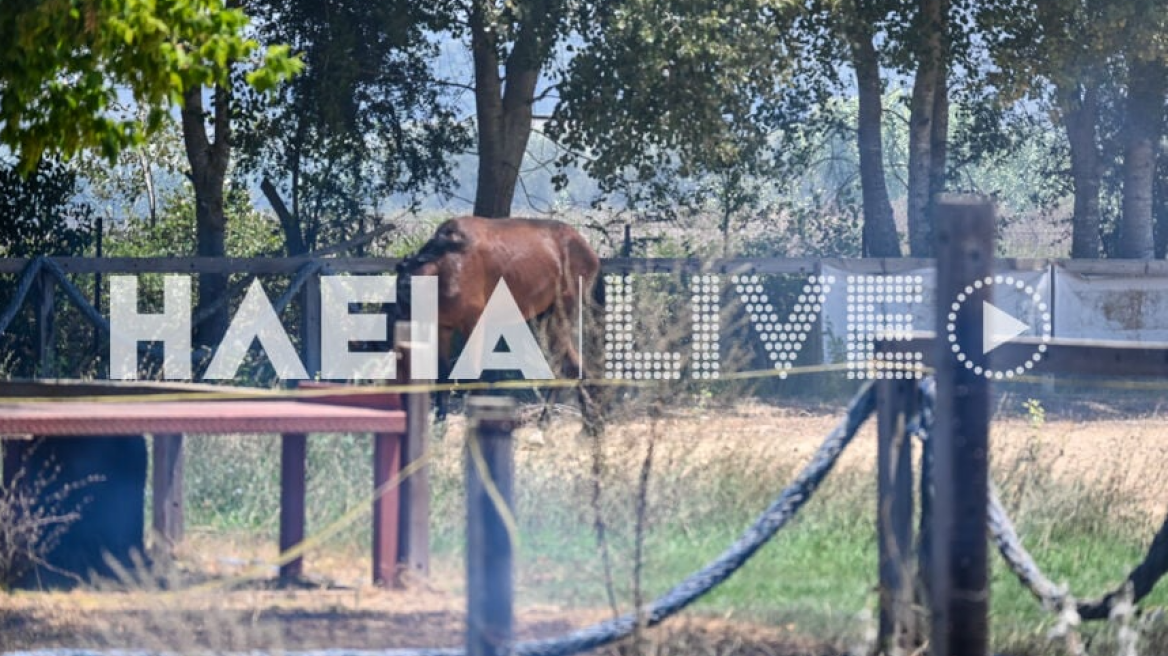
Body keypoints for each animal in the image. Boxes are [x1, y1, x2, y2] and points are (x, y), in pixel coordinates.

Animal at [397, 214, 607, 427]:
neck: (446, 266)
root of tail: (591, 253)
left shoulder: (473, 324)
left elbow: (474, 373)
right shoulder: (443, 327)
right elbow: (442, 374)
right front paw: (439, 424)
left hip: (560, 315)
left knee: (560, 366)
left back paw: (550, 420)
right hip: (543, 320)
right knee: (575, 366)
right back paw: (589, 421)